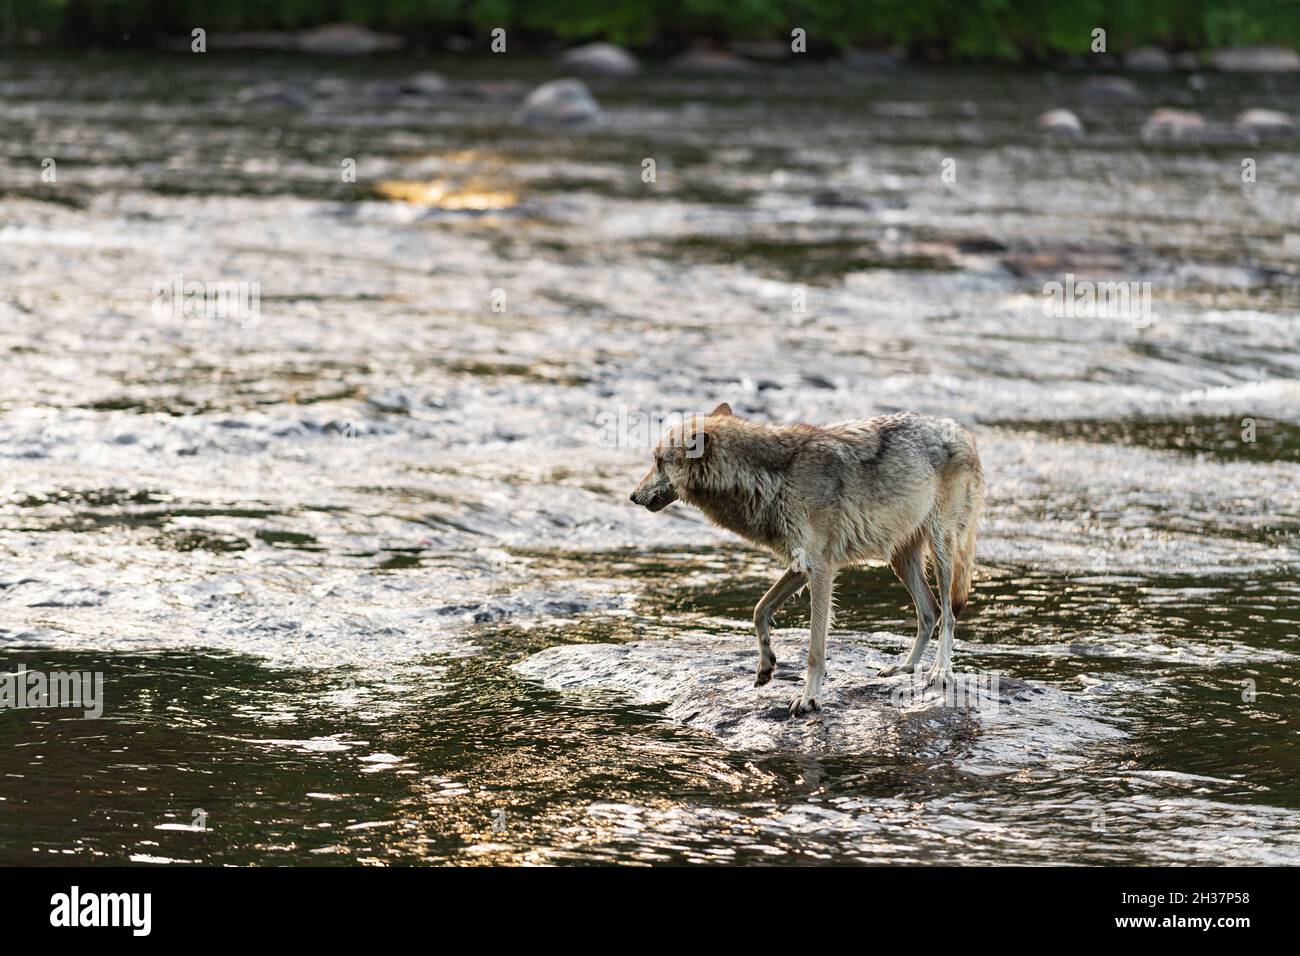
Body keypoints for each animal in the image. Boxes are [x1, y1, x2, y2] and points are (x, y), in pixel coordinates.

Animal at [630, 404, 984, 716]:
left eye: (658, 462)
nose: (632, 496)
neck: (769, 477)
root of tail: (964, 432)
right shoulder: (801, 565)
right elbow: (759, 610)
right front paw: (766, 666)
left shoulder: (822, 569)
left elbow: (815, 649)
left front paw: (809, 699)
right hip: (901, 560)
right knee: (929, 611)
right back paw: (904, 668)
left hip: (942, 550)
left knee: (948, 614)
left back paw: (939, 672)